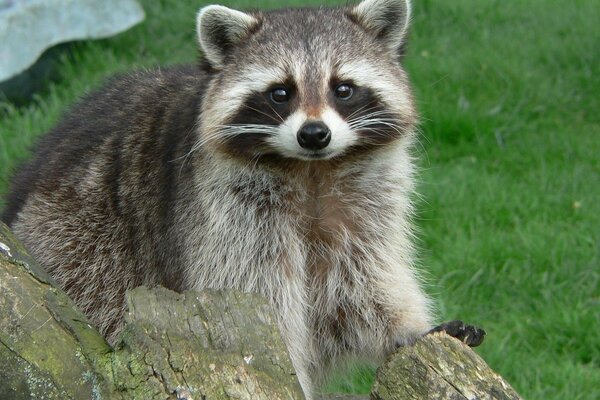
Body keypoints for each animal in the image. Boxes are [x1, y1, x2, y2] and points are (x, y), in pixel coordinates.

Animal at [2, 0, 482, 396]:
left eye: (342, 88)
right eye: (281, 92)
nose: (314, 134)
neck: (312, 170)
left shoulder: (366, 205)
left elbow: (360, 285)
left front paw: (407, 330)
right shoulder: (227, 212)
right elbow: (256, 293)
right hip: (80, 242)